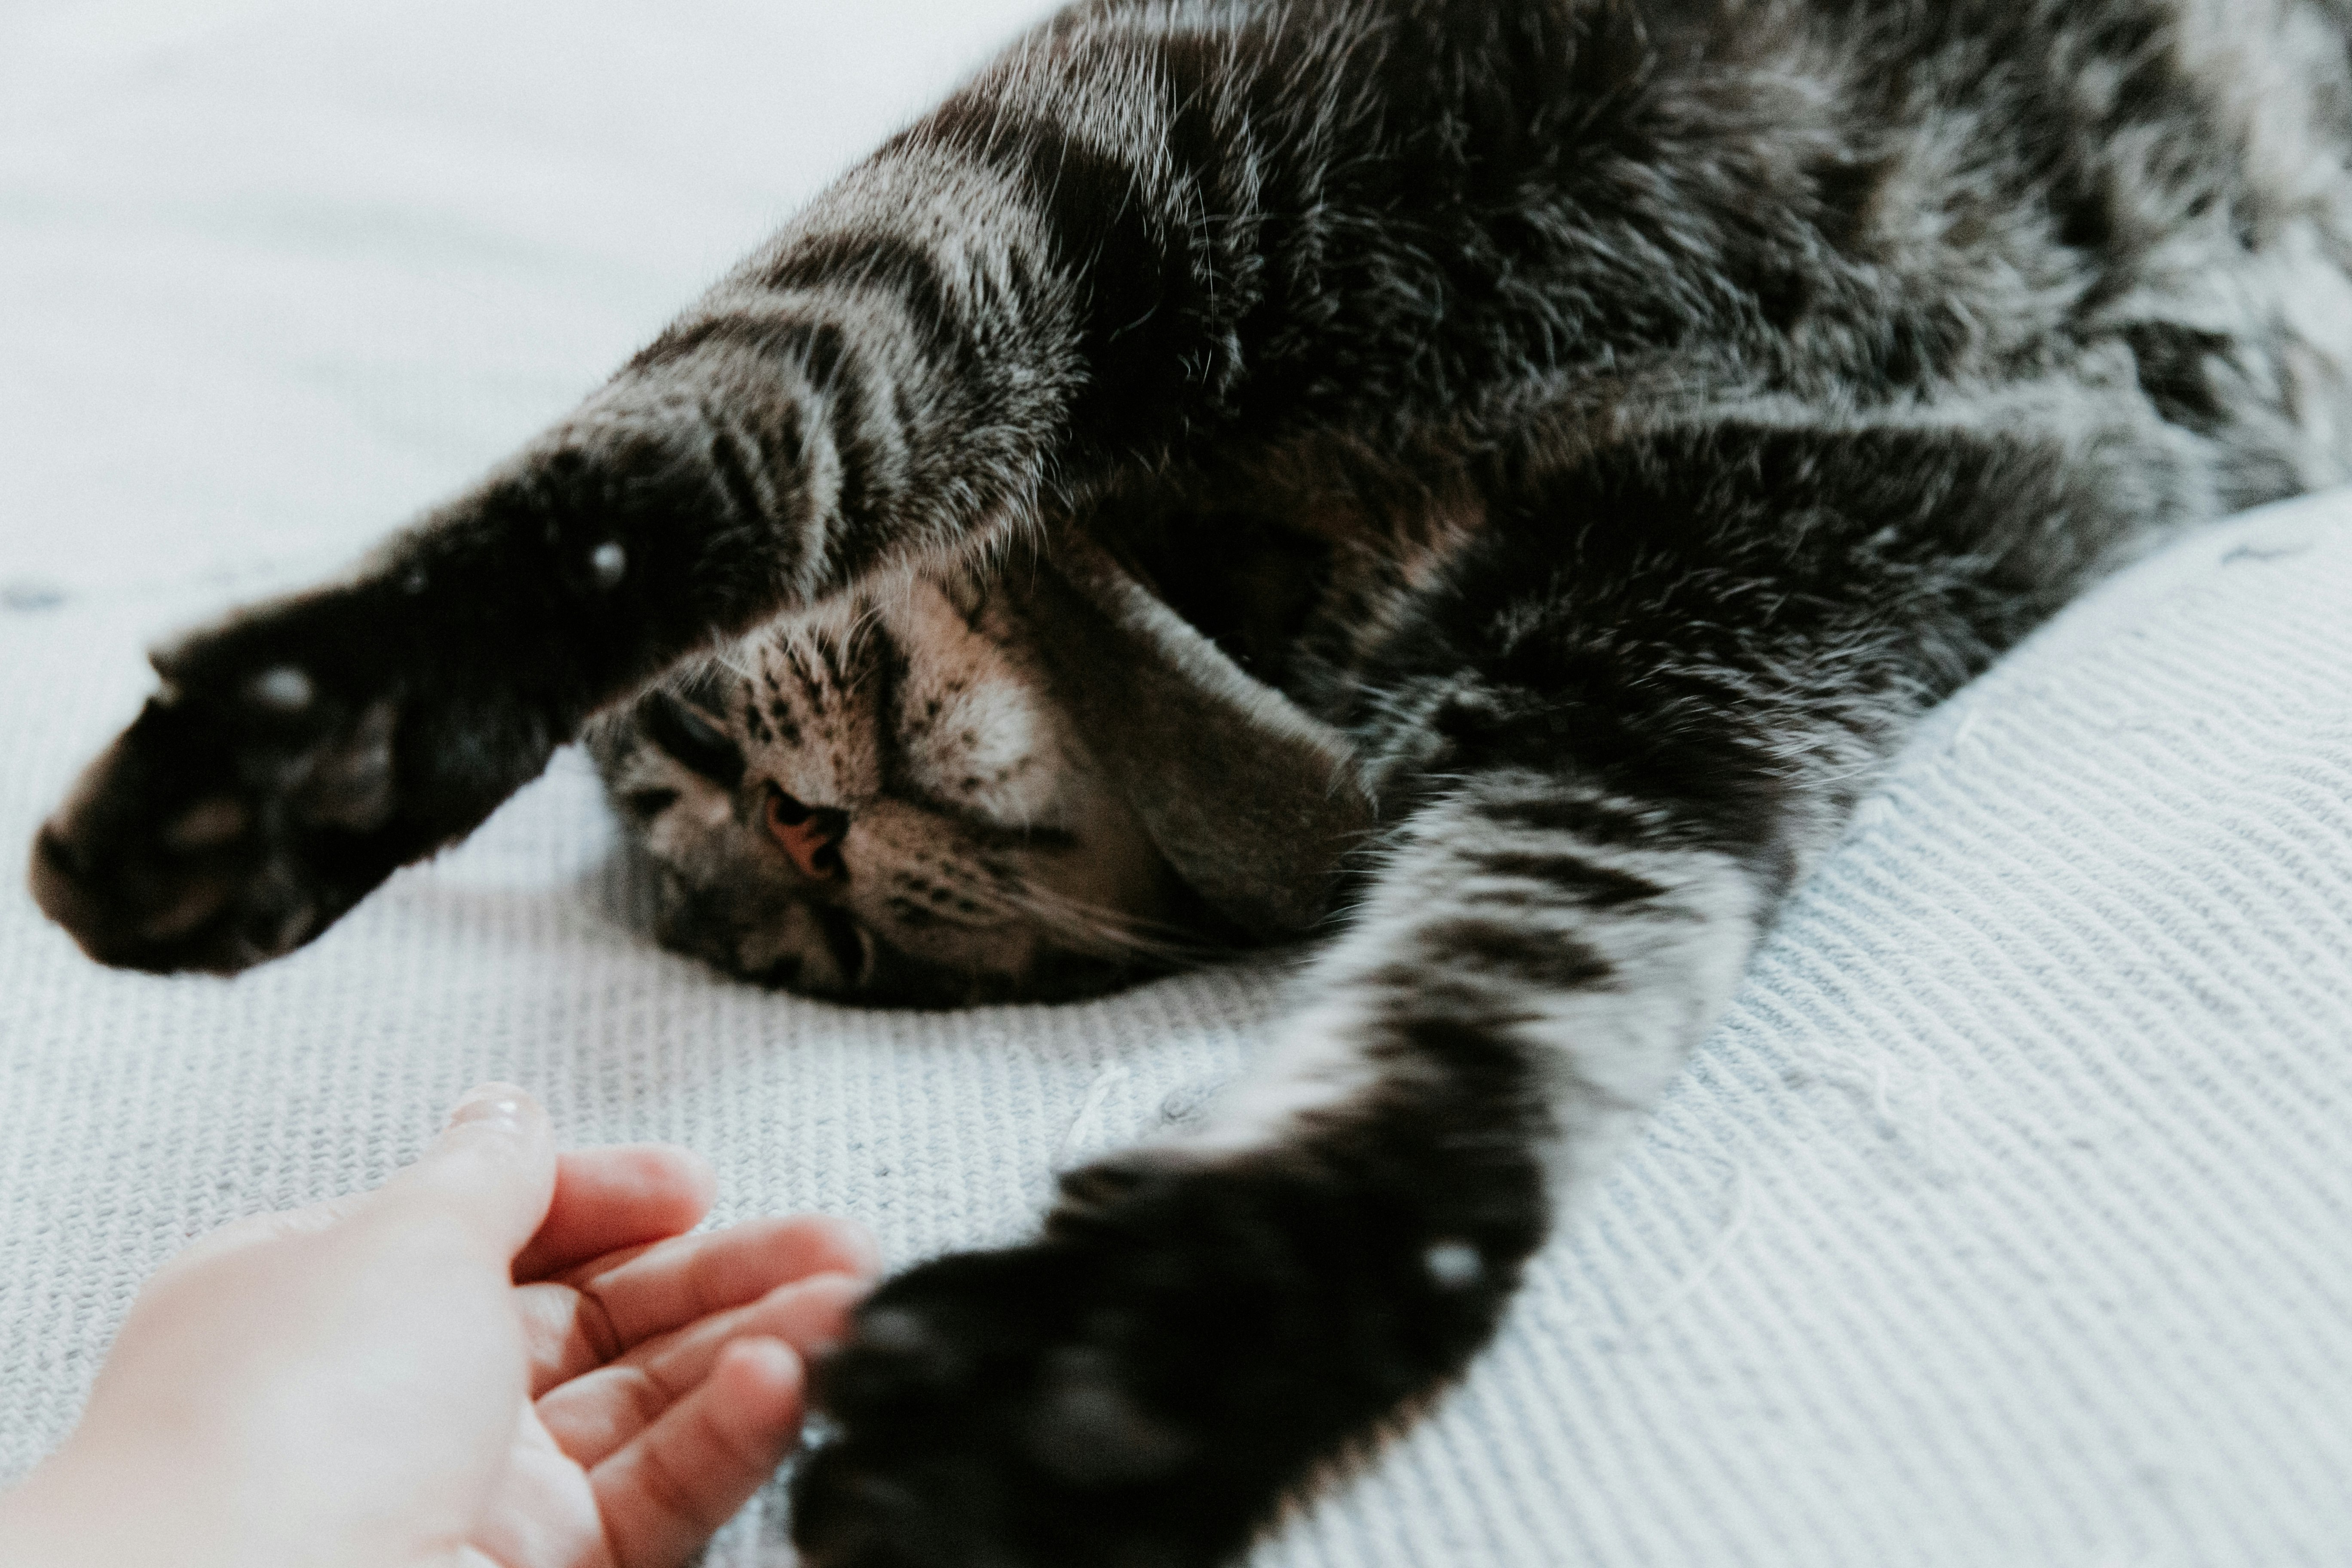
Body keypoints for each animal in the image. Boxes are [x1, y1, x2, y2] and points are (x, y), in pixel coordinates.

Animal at [28, 0, 2352, 1561]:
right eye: (830, 961)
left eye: (683, 756)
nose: (788, 833)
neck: (1283, 567)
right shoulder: (1699, 655)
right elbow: (1489, 1054)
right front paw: (1127, 1384)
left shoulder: (1128, 157)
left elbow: (720, 445)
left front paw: (296, 751)